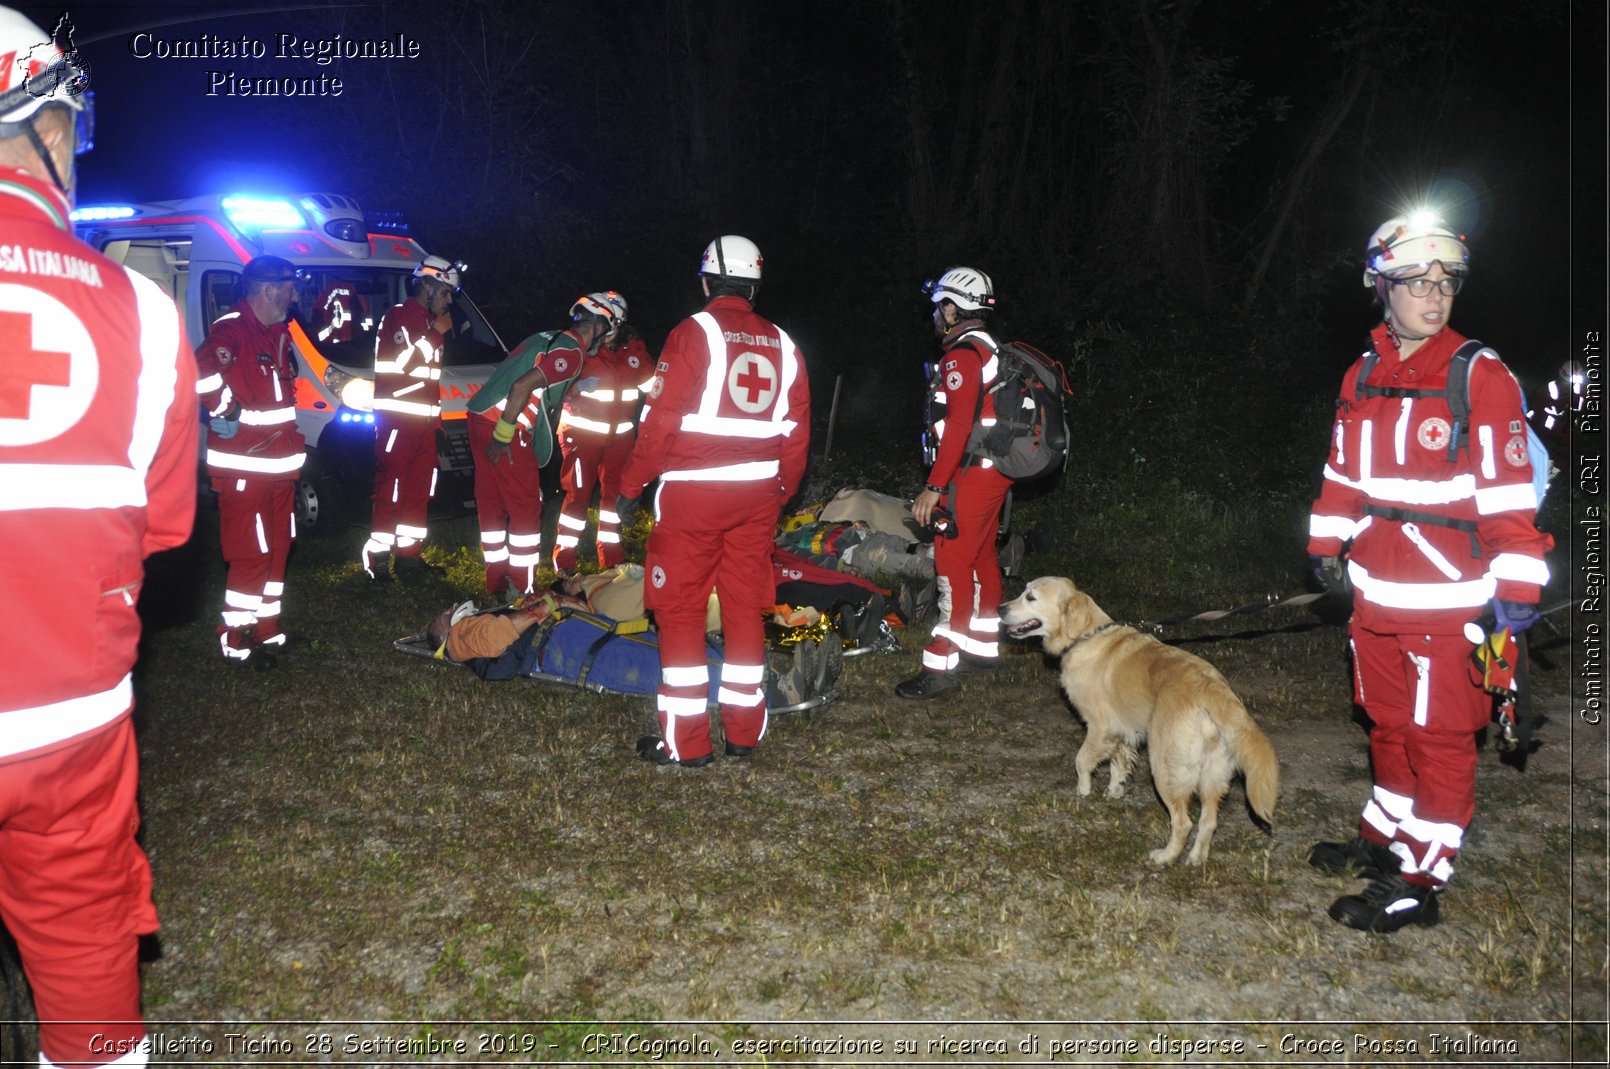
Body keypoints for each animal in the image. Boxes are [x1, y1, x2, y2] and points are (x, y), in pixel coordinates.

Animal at [998, 579, 1275, 862]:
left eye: (1030, 597)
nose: (1000, 609)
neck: (1087, 636)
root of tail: (1212, 689)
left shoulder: (1099, 727)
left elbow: (1082, 760)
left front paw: (1083, 790)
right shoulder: (1123, 731)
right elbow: (1117, 764)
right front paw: (1114, 790)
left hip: (1164, 767)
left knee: (1183, 822)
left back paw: (1165, 857)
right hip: (1212, 775)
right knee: (1208, 822)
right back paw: (1195, 859)